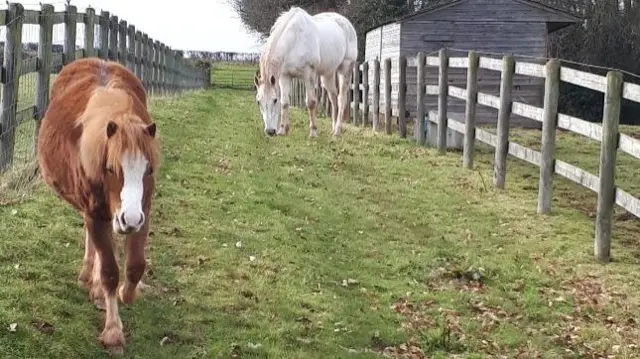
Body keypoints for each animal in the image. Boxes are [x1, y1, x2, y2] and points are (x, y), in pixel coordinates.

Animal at [36, 57, 161, 356]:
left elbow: (135, 266)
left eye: (148, 169)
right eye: (111, 168)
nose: (129, 219)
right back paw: (89, 279)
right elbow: (109, 272)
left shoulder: (144, 211)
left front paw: (128, 293)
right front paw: (113, 331)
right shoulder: (97, 212)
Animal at [252, 7, 358, 139]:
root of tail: (347, 24)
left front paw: (313, 132)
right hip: (327, 74)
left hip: (345, 69)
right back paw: (333, 129)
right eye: (258, 101)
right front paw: (282, 130)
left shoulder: (309, 75)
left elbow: (311, 103)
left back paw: (337, 131)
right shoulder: (284, 77)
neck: (294, 40)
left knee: (341, 99)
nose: (270, 131)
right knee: (333, 97)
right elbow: (285, 103)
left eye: (274, 100)